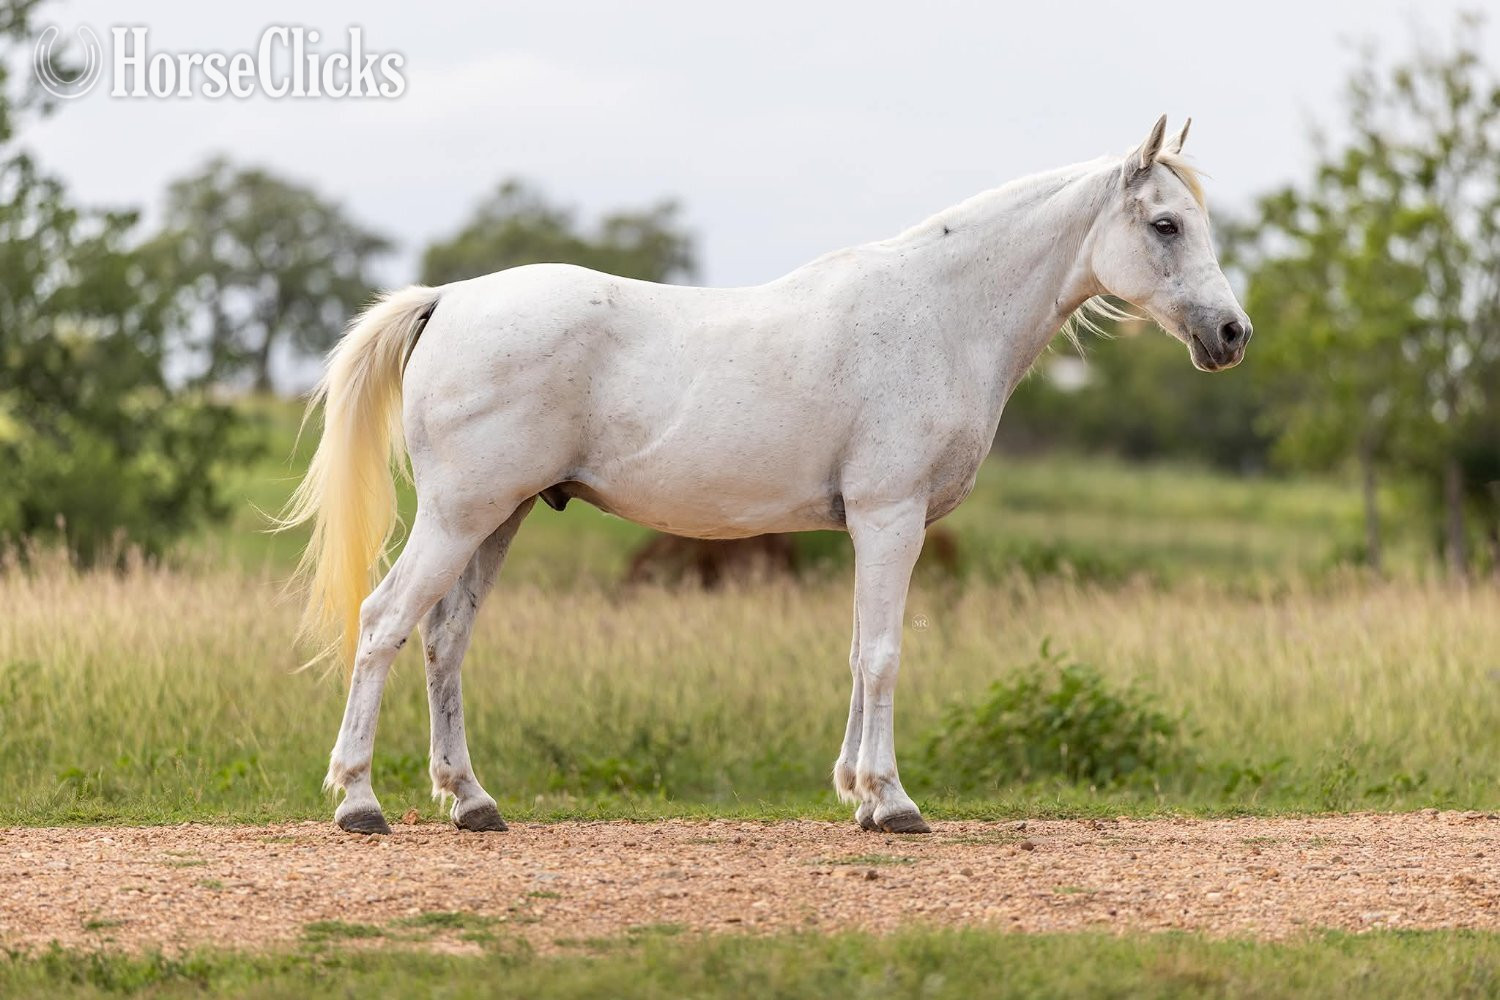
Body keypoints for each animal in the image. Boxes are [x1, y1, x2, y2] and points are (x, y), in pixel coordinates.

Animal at [282, 115, 1251, 836]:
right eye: (1165, 224)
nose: (1232, 334)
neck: (939, 313)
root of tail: (450, 299)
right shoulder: (891, 517)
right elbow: (885, 654)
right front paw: (893, 802)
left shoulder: (871, 528)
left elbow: (858, 652)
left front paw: (858, 794)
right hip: (458, 515)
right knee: (383, 623)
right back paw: (360, 801)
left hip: (499, 516)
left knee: (445, 641)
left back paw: (472, 802)